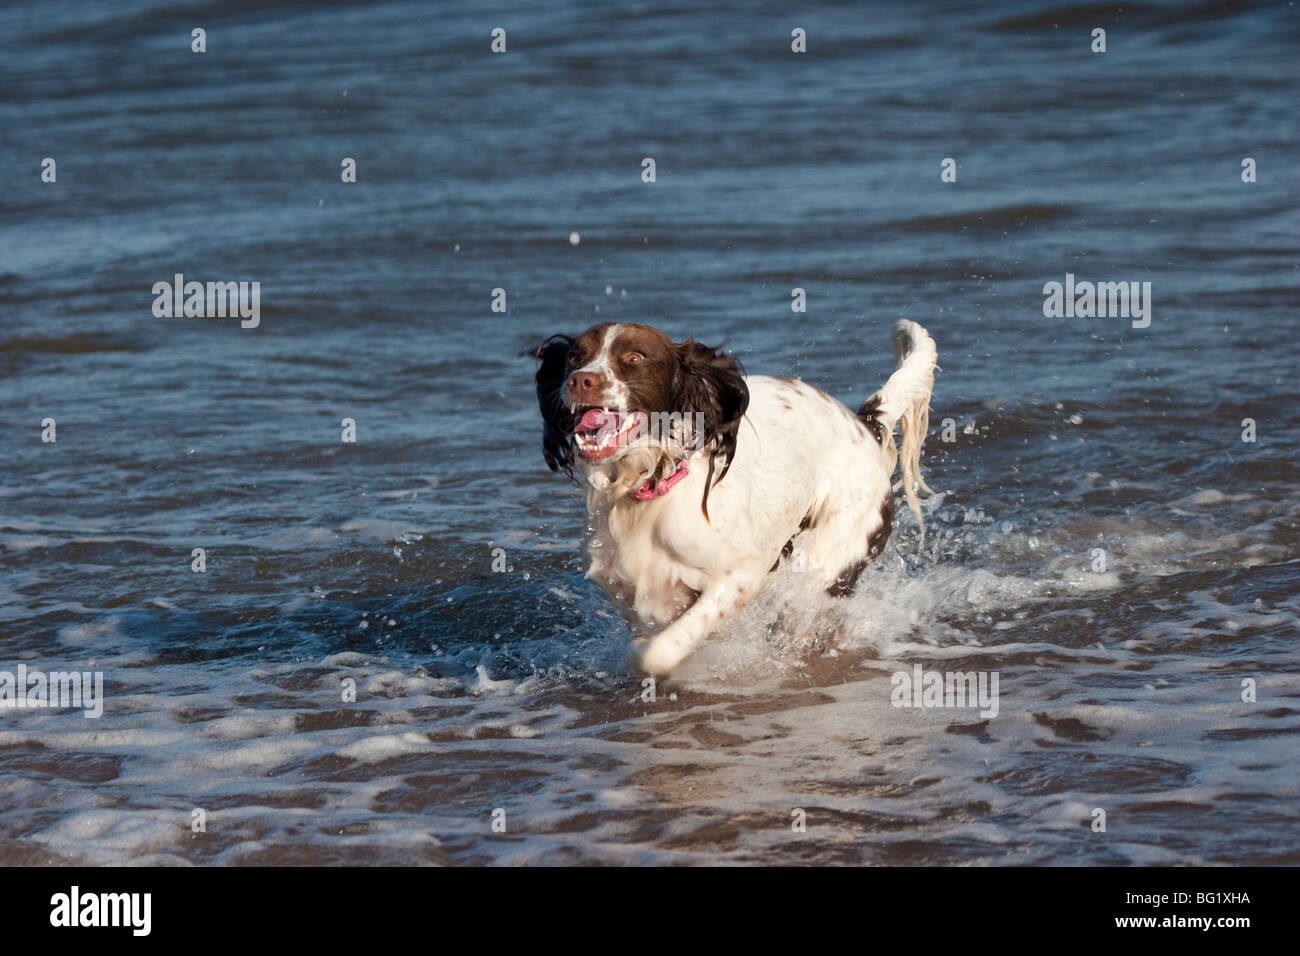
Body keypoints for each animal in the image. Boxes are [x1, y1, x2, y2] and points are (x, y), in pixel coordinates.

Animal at [533, 317, 941, 676]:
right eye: (574, 357)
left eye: (634, 358)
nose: (580, 380)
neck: (646, 489)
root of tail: (865, 428)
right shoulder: (625, 589)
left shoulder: (739, 578)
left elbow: (656, 653)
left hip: (827, 558)